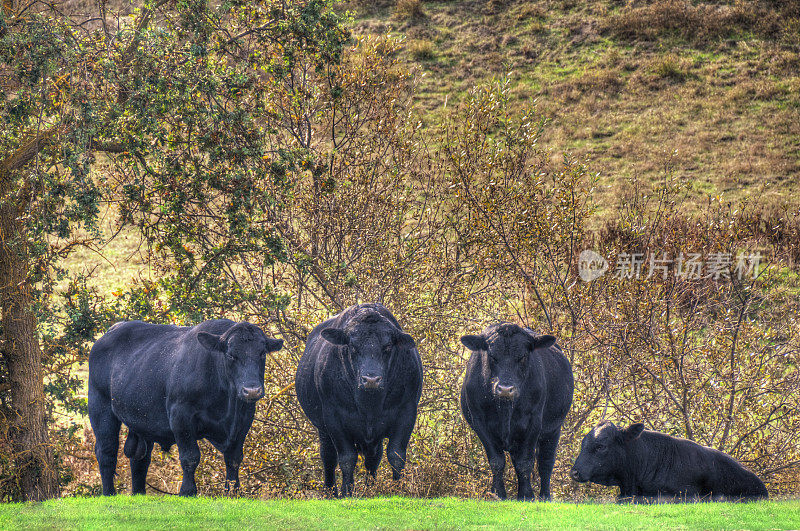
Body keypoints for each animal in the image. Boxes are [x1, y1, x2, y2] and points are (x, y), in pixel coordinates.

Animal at [89, 320, 282, 498]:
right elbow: (190, 456)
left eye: (262, 353)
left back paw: (139, 493)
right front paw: (188, 491)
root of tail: (113, 329)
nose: (252, 390)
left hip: (142, 419)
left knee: (140, 459)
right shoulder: (180, 416)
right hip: (100, 407)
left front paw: (233, 492)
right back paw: (109, 492)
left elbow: (234, 458)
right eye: (231, 355)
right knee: (106, 451)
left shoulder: (244, 419)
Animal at [296, 304, 424, 498]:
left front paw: (398, 489)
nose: (371, 379)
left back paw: (370, 489)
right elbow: (347, 458)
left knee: (373, 459)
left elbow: (396, 455)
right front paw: (347, 492)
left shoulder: (406, 414)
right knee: (328, 457)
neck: (369, 404)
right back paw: (331, 492)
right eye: (353, 346)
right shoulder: (334, 418)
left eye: (387, 346)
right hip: (323, 429)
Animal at [460, 322, 572, 500]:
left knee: (545, 463)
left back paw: (545, 496)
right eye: (492, 356)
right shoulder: (480, 423)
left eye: (523, 356)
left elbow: (525, 462)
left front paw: (526, 495)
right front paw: (497, 494)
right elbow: (497, 461)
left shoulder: (534, 422)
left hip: (553, 429)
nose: (505, 389)